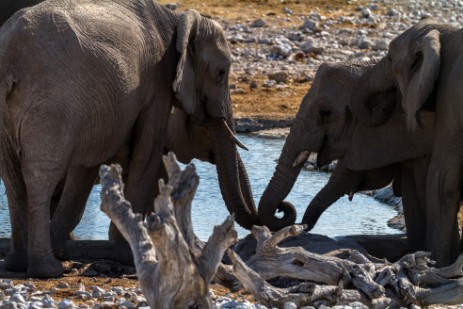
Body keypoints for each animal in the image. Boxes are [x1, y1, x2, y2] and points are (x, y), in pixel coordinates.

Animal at [0, 0, 260, 276]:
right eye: (221, 73)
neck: (177, 20)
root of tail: (9, 54)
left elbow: (87, 168)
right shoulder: (157, 84)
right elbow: (146, 156)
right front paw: (129, 255)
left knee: (13, 181)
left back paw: (18, 263)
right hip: (52, 104)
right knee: (41, 176)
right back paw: (48, 270)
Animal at [352, 18, 463, 264]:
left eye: (390, 59)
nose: (386, 103)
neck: (443, 32)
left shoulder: (452, 96)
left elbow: (442, 181)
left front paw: (437, 263)